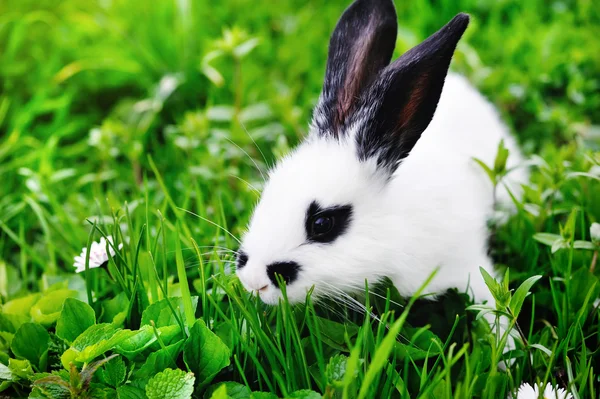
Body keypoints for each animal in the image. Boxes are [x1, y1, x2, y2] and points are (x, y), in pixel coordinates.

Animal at [237, 0, 528, 336]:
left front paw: (508, 347)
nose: (253, 281)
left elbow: (493, 307)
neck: (393, 232)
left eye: (322, 223)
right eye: (268, 192)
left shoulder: (467, 260)